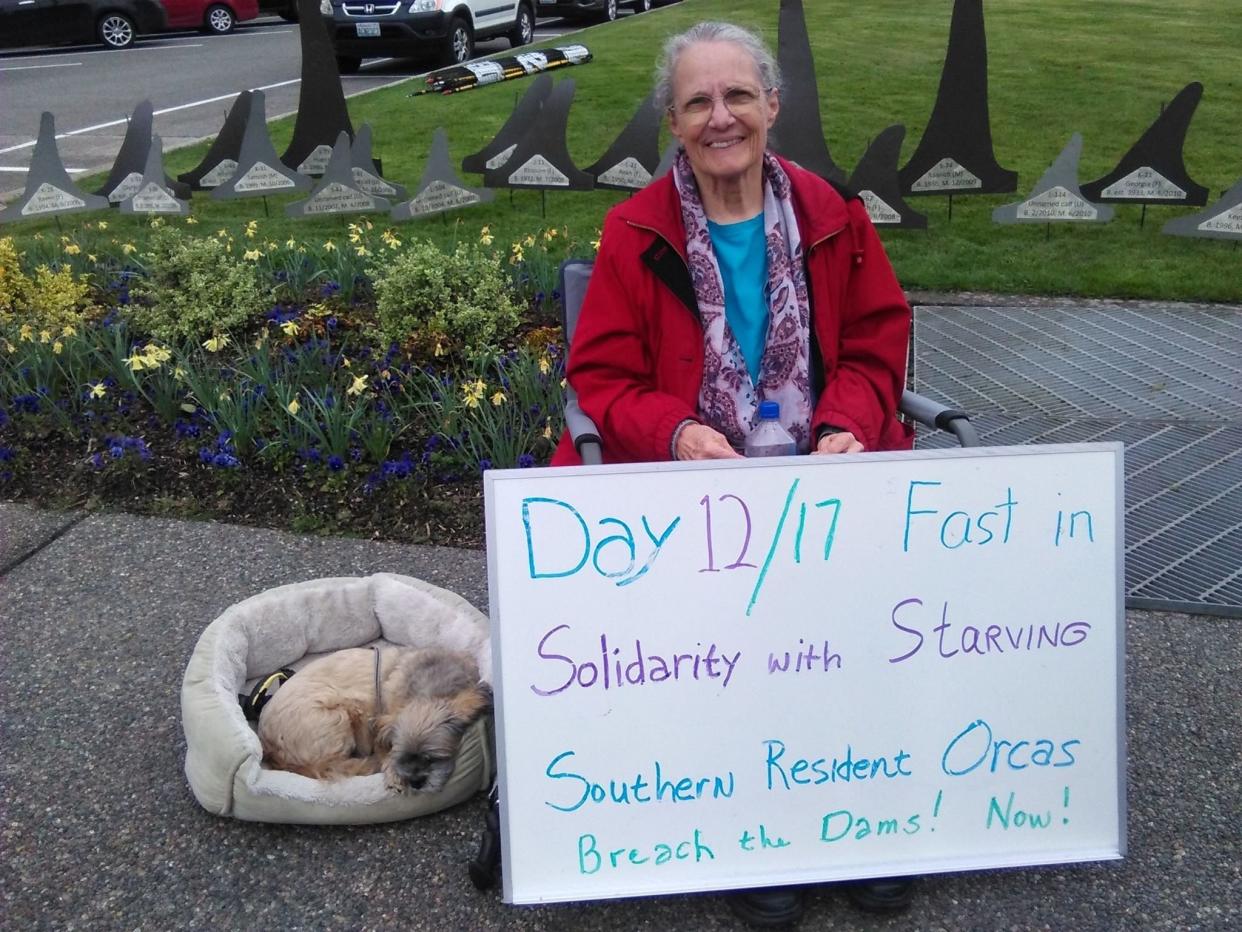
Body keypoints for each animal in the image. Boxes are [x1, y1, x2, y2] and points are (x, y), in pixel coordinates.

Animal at [257, 651, 489, 795]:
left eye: (432, 758)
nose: (417, 783)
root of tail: (270, 747)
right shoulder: (374, 720)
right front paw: (392, 773)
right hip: (340, 714)